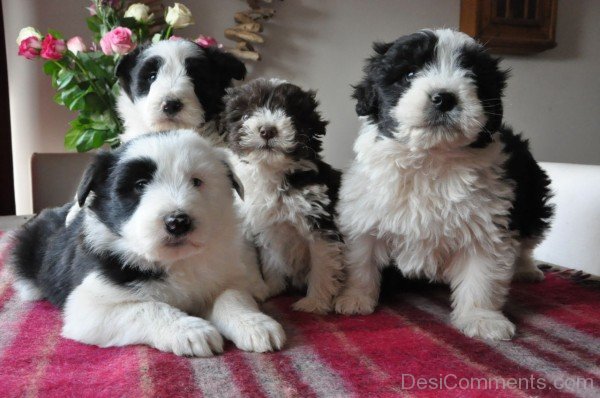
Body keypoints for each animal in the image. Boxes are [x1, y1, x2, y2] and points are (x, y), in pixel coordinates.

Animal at [9, 131, 286, 358]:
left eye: (197, 182)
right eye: (140, 185)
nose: (178, 222)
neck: (175, 261)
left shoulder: (222, 275)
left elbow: (232, 296)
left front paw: (255, 324)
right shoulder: (88, 307)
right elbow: (148, 307)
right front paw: (191, 330)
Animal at [221, 78, 344, 314]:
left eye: (290, 114)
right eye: (246, 115)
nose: (267, 130)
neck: (273, 172)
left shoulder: (320, 224)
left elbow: (322, 265)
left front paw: (315, 302)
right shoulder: (269, 227)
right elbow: (271, 260)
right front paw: (272, 287)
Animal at [332, 28, 552, 338]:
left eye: (472, 76)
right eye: (409, 74)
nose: (444, 98)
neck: (431, 158)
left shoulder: (489, 222)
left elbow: (482, 276)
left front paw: (482, 318)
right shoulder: (366, 214)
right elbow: (361, 259)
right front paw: (355, 298)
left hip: (532, 198)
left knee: (527, 242)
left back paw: (526, 270)